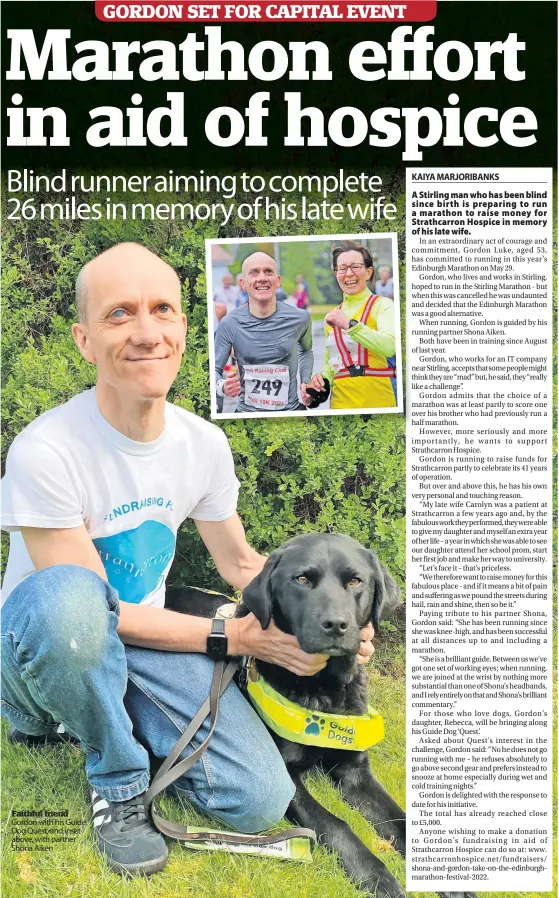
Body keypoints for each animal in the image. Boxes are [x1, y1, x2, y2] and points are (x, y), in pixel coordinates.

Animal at [167, 532, 476, 896]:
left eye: (356, 581)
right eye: (301, 579)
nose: (336, 625)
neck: (323, 691)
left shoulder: (356, 772)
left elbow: (399, 818)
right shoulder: (289, 778)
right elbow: (336, 823)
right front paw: (376, 874)